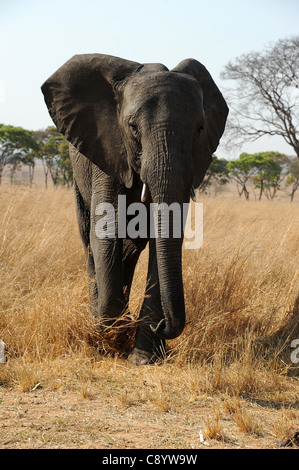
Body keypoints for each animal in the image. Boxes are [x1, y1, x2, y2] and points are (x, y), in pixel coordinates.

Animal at [41, 53, 230, 366]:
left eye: (200, 130)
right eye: (132, 127)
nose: (162, 325)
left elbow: (162, 237)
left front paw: (143, 357)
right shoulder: (107, 147)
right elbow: (105, 230)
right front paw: (111, 334)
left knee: (131, 246)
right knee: (89, 239)